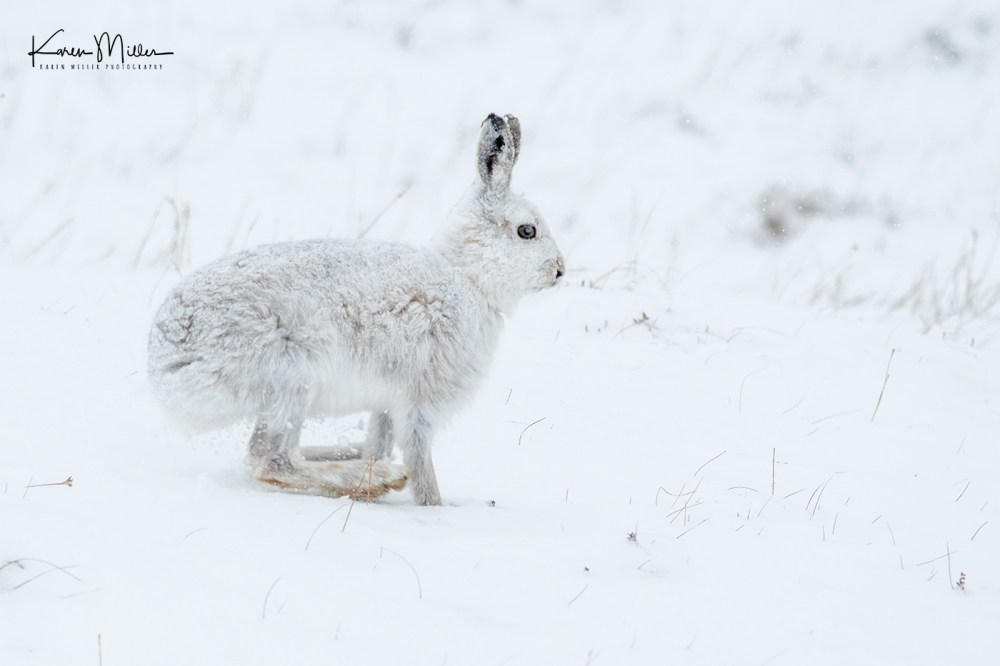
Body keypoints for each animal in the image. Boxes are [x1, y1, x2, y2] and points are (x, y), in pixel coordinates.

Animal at [147, 113, 565, 505]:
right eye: (527, 231)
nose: (560, 271)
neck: (467, 277)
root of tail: (164, 365)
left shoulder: (386, 405)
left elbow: (381, 436)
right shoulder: (418, 403)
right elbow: (421, 463)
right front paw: (435, 506)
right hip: (294, 370)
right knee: (271, 461)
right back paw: (380, 476)